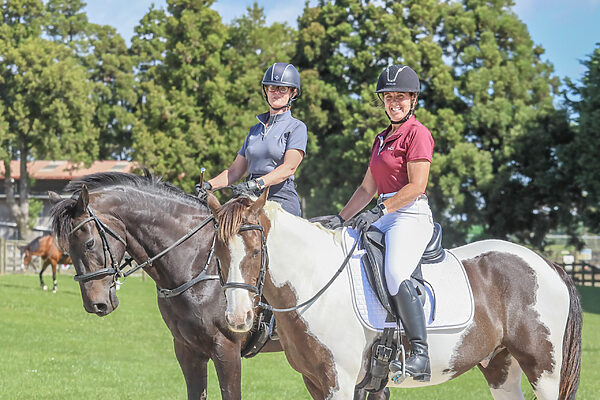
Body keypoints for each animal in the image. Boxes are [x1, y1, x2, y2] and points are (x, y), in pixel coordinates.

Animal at [48, 173, 390, 400]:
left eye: (89, 242)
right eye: (64, 247)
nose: (96, 304)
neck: (195, 264)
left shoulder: (226, 350)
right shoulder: (187, 350)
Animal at [205, 191, 580, 400]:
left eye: (256, 251)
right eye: (219, 252)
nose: (237, 317)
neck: (315, 280)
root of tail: (548, 264)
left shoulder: (339, 383)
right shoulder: (316, 383)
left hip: (544, 371)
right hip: (500, 366)